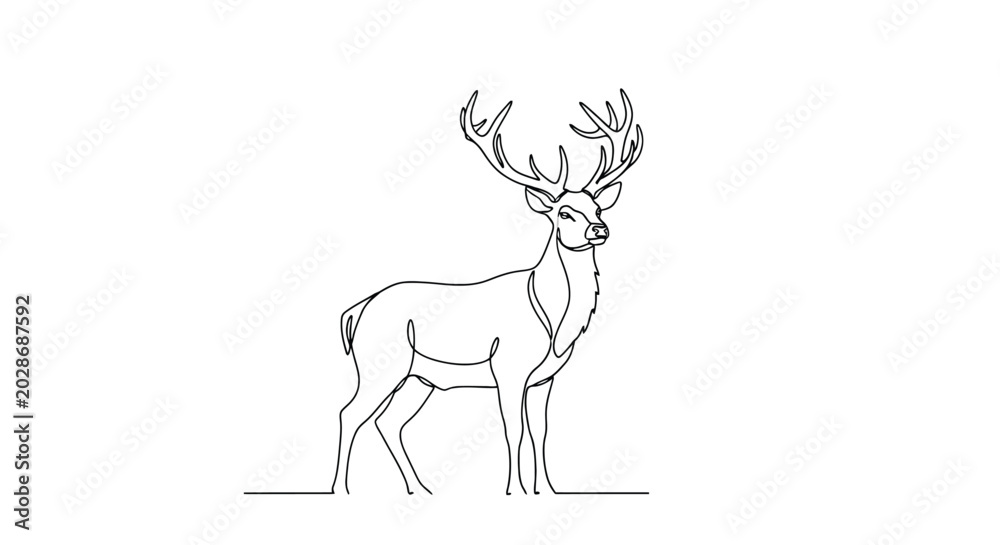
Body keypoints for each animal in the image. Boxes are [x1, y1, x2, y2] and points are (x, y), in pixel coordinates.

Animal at [331, 90, 643, 495]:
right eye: (564, 212)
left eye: (597, 207)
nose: (599, 230)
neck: (552, 324)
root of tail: (356, 311)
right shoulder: (508, 368)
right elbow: (514, 432)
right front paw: (514, 490)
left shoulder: (544, 378)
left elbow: (541, 432)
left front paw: (546, 489)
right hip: (378, 364)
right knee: (350, 413)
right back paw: (340, 489)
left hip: (420, 378)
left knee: (390, 422)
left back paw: (421, 488)